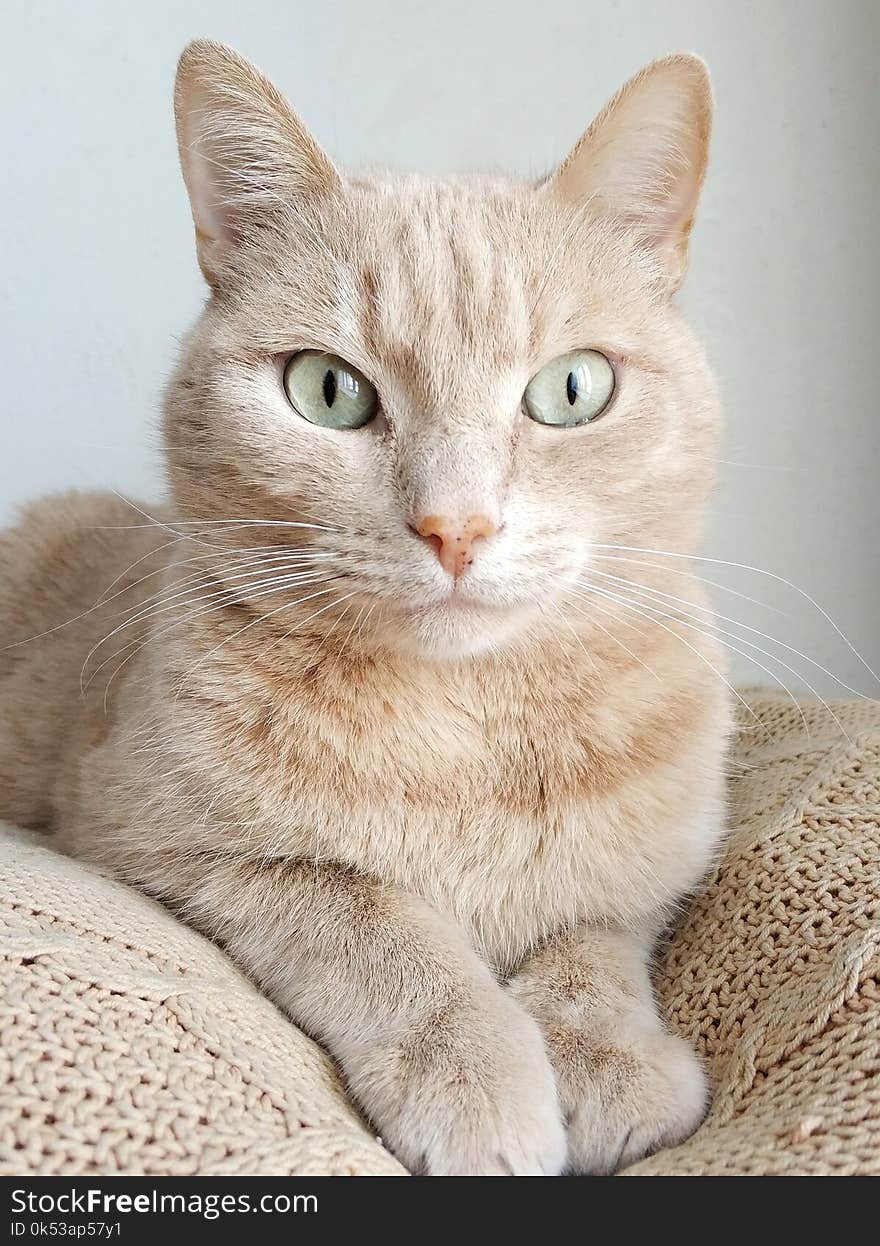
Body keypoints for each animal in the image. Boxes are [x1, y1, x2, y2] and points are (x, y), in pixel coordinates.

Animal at [0, 36, 727, 1166]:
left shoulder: (660, 866)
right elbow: (374, 920)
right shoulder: (154, 841)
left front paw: (605, 1055)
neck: (468, 727)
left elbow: (593, 933)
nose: (455, 527)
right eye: (327, 391)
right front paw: (478, 1075)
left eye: (571, 390)